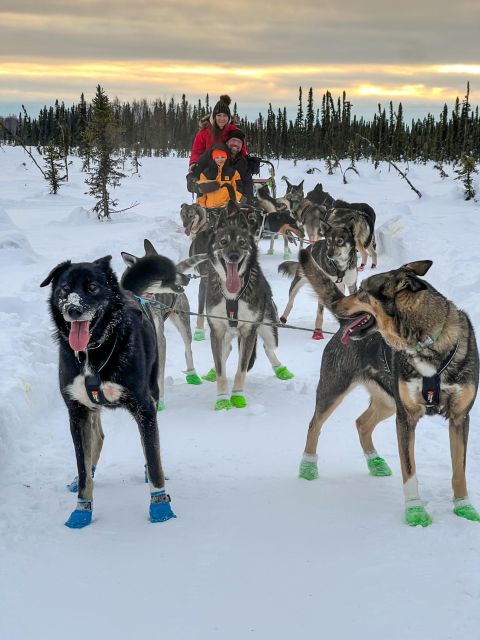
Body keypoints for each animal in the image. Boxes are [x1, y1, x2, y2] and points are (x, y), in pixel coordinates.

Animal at [39, 252, 178, 528]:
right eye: (65, 289)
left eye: (93, 287)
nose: (73, 309)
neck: (94, 352)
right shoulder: (77, 412)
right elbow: (83, 468)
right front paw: (82, 509)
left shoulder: (144, 409)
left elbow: (154, 460)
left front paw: (161, 508)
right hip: (91, 409)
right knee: (98, 438)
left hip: (153, 392)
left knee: (149, 446)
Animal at [120, 238, 206, 408]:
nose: (186, 278)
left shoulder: (159, 340)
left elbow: (159, 374)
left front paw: (159, 402)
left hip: (183, 323)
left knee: (188, 349)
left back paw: (192, 374)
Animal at [202, 204, 292, 410]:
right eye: (223, 242)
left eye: (242, 243)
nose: (234, 256)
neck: (232, 296)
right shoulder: (216, 331)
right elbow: (221, 369)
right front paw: (222, 399)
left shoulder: (249, 332)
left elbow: (241, 369)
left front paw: (237, 395)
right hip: (226, 334)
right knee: (225, 351)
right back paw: (212, 370)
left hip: (269, 328)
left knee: (268, 347)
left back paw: (280, 368)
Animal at [298, 248, 478, 528]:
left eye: (362, 290)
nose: (339, 303)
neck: (425, 343)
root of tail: (341, 325)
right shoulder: (406, 418)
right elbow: (410, 469)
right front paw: (415, 512)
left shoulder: (459, 417)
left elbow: (459, 470)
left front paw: (464, 508)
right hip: (334, 388)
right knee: (314, 425)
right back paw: (307, 468)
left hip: (388, 402)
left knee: (362, 423)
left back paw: (375, 463)